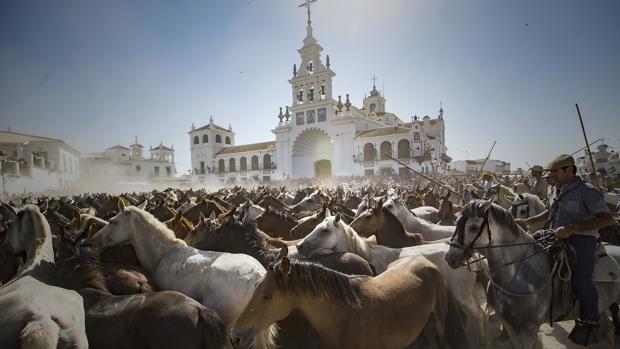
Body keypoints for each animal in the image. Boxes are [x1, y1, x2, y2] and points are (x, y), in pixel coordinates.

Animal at [298, 213, 496, 346]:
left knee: (478, 315)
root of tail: (470, 255)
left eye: (324, 230)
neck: (368, 256)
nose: (299, 246)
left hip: (462, 295)